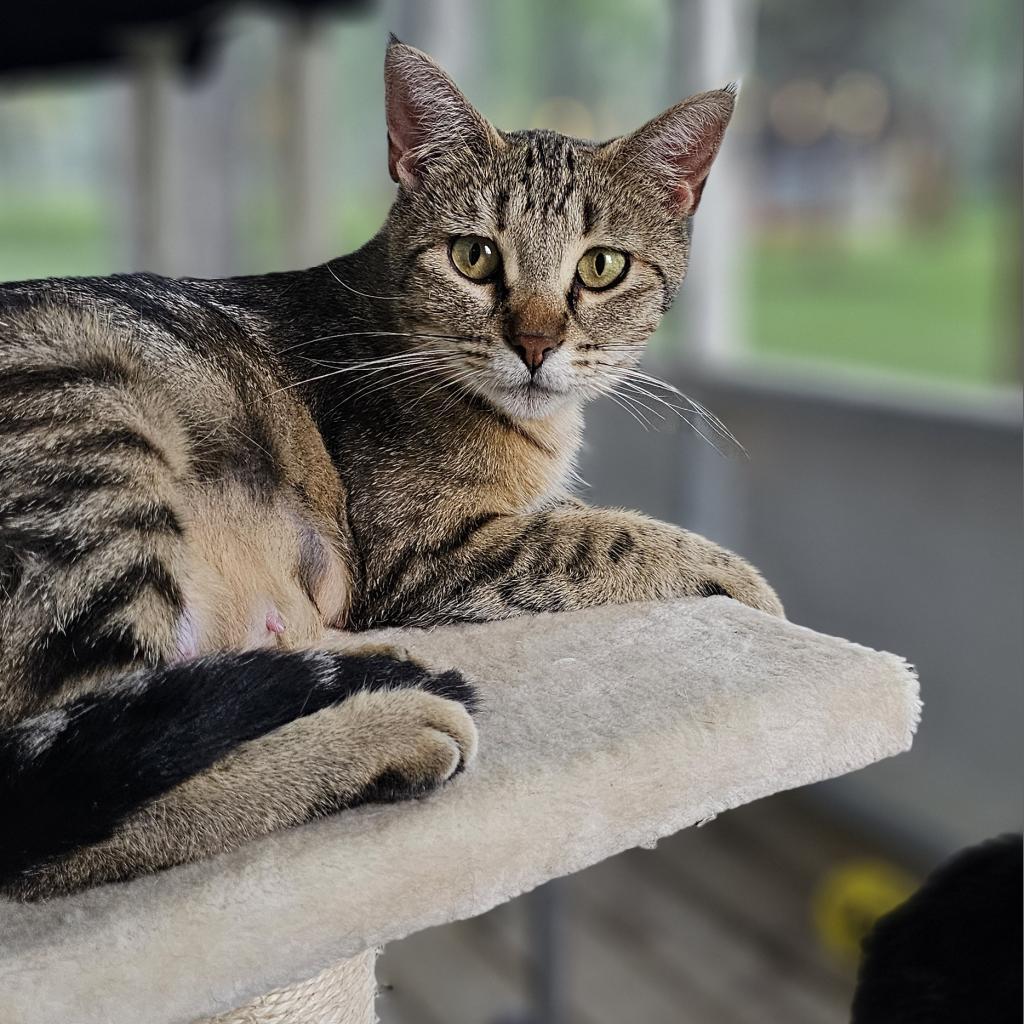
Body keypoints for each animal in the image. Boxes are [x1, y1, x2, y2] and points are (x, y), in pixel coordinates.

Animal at [2, 36, 782, 901]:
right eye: (474, 256)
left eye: (602, 267)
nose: (536, 345)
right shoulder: (425, 556)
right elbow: (607, 540)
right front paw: (748, 584)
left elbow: (586, 518)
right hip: (100, 438)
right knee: (59, 798)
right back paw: (387, 729)